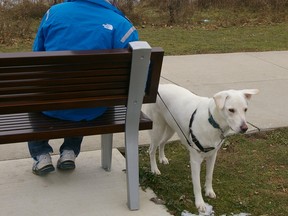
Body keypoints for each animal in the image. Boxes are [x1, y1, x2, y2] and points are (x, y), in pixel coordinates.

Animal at [144, 84, 258, 213]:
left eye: (245, 109)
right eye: (231, 110)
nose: (245, 128)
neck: (212, 121)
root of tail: (161, 85)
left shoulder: (212, 156)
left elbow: (209, 176)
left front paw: (209, 191)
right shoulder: (195, 160)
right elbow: (197, 184)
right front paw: (200, 203)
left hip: (171, 129)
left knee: (162, 143)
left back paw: (162, 158)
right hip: (157, 129)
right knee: (152, 149)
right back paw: (154, 169)